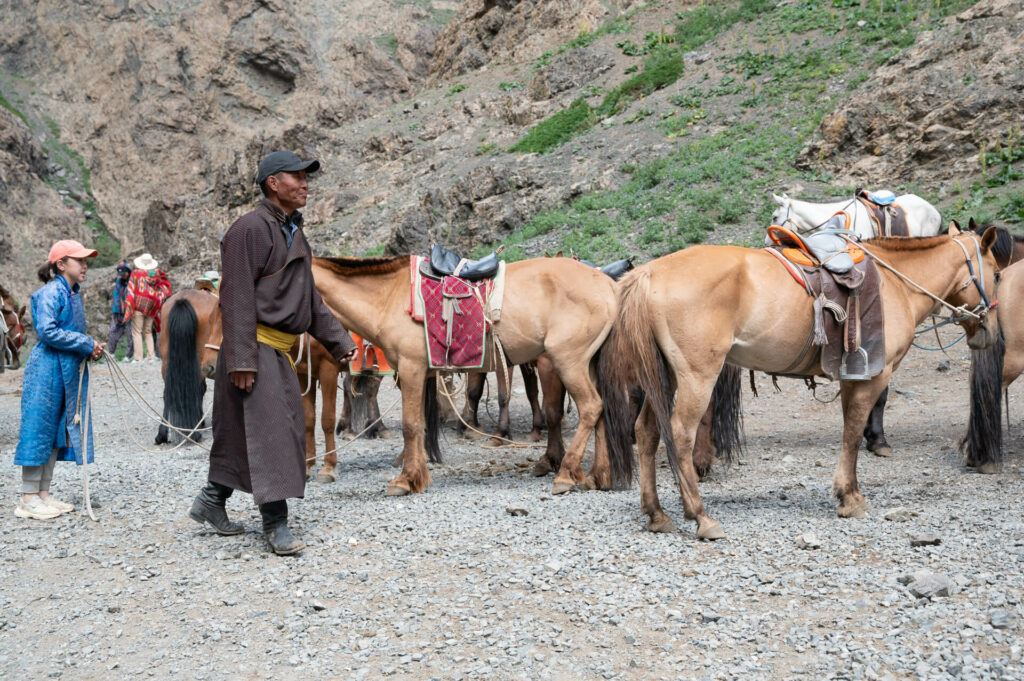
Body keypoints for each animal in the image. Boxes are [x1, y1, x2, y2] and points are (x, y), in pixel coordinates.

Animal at [309, 253, 622, 493]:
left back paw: (566, 475)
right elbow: (421, 425)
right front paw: (418, 476)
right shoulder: (420, 374)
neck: (388, 299)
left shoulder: (411, 368)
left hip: (568, 360)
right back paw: (599, 476)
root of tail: (607, 285)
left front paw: (405, 481)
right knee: (601, 412)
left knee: (590, 408)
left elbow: (410, 425)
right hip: (588, 364)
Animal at [598, 225, 999, 540]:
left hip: (662, 375)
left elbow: (850, 430)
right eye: (996, 274)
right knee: (680, 434)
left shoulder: (852, 377)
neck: (896, 282)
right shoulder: (873, 376)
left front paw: (848, 492)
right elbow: (853, 433)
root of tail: (650, 272)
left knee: (647, 432)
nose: (991, 331)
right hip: (697, 376)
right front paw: (849, 497)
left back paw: (656, 514)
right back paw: (701, 516)